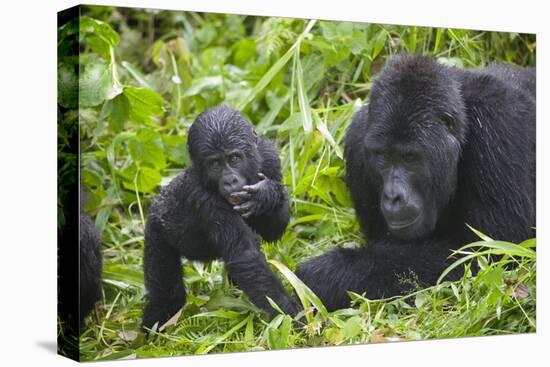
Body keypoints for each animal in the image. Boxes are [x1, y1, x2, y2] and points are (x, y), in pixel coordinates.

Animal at [142, 104, 298, 330]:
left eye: (234, 158)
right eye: (215, 164)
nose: (230, 181)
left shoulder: (270, 157)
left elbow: (273, 230)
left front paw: (267, 194)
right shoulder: (202, 196)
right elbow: (245, 255)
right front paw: (291, 315)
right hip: (157, 230)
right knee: (166, 294)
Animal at [296, 54, 536, 312]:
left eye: (409, 157)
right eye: (382, 156)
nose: (393, 196)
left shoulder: (499, 123)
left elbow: (494, 251)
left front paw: (328, 274)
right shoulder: (358, 140)